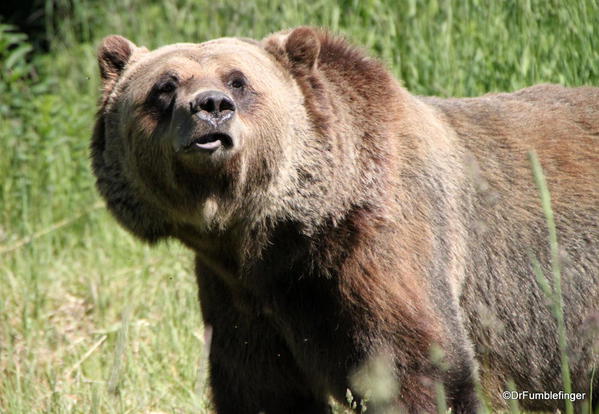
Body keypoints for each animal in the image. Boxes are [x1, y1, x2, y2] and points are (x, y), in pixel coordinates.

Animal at [91, 27, 599, 412]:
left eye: (238, 81)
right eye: (164, 87)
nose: (210, 107)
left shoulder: (383, 247)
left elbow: (420, 367)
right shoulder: (238, 294)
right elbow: (261, 386)